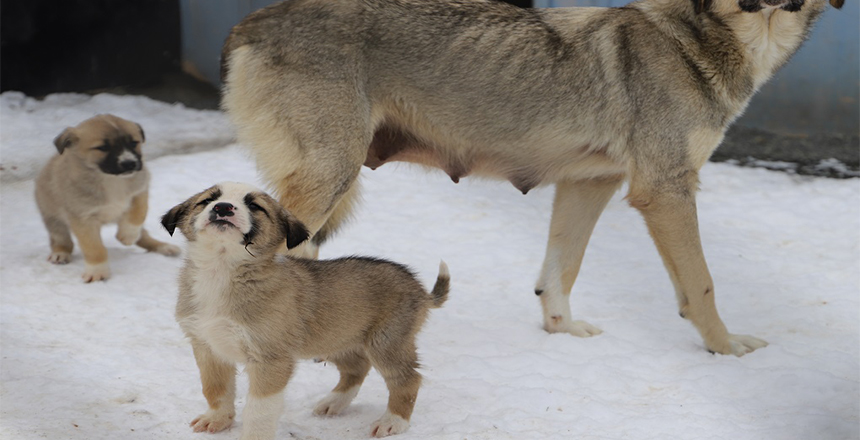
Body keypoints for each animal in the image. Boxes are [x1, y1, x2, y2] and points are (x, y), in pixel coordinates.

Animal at [34, 113, 180, 282]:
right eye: (103, 148)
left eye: (134, 143)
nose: (129, 163)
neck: (111, 179)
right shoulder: (83, 219)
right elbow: (94, 248)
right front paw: (97, 271)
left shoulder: (140, 189)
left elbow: (138, 213)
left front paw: (127, 235)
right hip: (54, 220)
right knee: (61, 239)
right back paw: (60, 253)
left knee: (143, 236)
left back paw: (163, 246)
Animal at [162, 180, 454, 438]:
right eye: (207, 200)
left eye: (255, 206)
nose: (222, 207)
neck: (221, 269)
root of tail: (420, 289)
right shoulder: (207, 346)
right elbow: (216, 389)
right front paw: (217, 419)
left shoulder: (270, 360)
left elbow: (258, 411)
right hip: (337, 339)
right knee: (357, 368)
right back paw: (334, 403)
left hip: (387, 343)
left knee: (407, 379)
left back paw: (392, 422)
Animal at [222, 0, 848, 358]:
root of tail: (247, 23)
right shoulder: (667, 191)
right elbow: (702, 285)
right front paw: (727, 349)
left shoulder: (589, 185)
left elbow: (559, 271)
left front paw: (560, 332)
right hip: (327, 180)